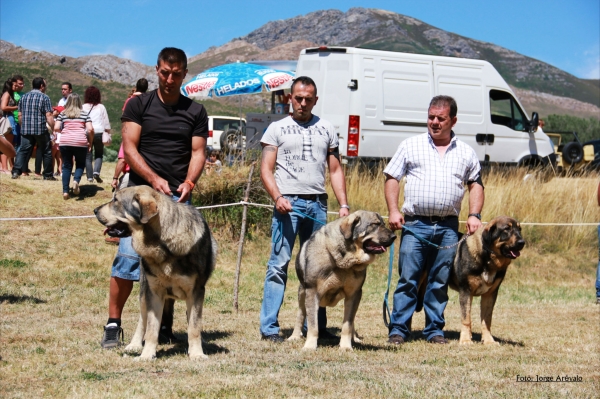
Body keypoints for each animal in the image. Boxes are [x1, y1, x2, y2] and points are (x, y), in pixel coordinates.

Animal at [97, 186, 219, 360]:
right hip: (144, 292)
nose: (95, 210)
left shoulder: (196, 292)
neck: (162, 243)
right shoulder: (154, 292)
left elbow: (194, 326)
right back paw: (134, 345)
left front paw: (196, 354)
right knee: (142, 320)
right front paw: (147, 355)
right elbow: (151, 328)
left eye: (116, 200)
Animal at [290, 211, 396, 352]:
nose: (394, 236)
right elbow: (313, 324)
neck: (344, 259)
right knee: (301, 314)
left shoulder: (354, 294)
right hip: (302, 293)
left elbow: (347, 324)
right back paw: (295, 336)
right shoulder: (312, 292)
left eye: (383, 224)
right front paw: (310, 346)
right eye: (375, 224)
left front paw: (345, 346)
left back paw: (354, 338)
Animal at [418, 217, 524, 346]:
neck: (488, 259)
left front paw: (488, 340)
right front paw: (465, 340)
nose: (522, 242)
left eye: (519, 229)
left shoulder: (490, 295)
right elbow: (466, 318)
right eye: (506, 229)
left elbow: (486, 320)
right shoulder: (466, 291)